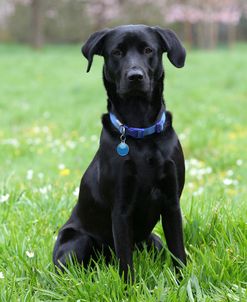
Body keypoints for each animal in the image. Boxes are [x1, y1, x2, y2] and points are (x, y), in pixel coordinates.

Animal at [53, 24, 186, 282]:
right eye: (116, 52)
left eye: (148, 50)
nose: (135, 76)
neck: (140, 131)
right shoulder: (121, 210)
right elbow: (125, 261)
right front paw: (130, 288)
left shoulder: (172, 203)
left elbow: (179, 253)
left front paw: (184, 284)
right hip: (76, 240)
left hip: (153, 241)